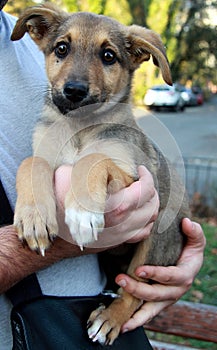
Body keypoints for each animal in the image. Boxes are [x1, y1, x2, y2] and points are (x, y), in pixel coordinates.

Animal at [11, 2, 190, 346]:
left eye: (108, 56)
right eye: (62, 48)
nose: (74, 91)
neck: (78, 127)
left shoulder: (133, 175)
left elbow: (93, 159)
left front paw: (82, 213)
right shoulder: (45, 154)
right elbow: (30, 164)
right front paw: (34, 218)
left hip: (156, 239)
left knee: (133, 292)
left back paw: (110, 319)